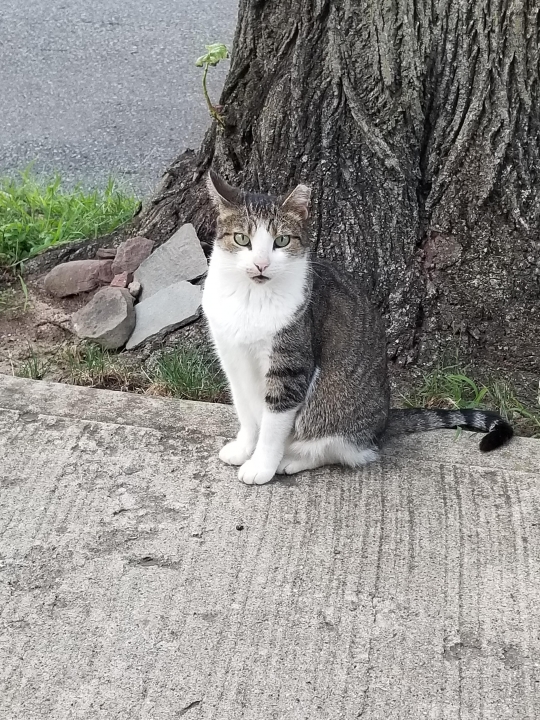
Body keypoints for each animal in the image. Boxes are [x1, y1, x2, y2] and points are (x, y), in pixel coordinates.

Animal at [200, 169, 512, 486]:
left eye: (282, 241)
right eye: (242, 239)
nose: (261, 264)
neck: (250, 298)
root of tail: (385, 421)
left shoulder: (290, 364)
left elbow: (273, 423)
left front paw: (261, 465)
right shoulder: (232, 357)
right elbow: (245, 411)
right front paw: (243, 448)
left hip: (330, 403)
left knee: (344, 449)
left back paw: (292, 460)